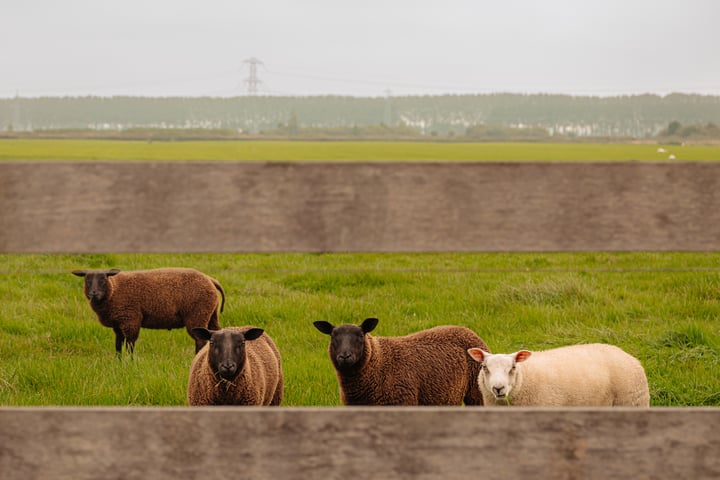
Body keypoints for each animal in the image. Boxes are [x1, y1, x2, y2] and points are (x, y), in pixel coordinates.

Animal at [72, 268, 225, 354]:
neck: (114, 291)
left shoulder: (130, 320)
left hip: (197, 315)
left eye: (103, 280)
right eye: (87, 281)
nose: (94, 293)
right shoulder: (118, 324)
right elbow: (118, 345)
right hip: (211, 315)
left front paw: (130, 363)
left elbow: (130, 345)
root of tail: (210, 280)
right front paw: (118, 362)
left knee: (200, 340)